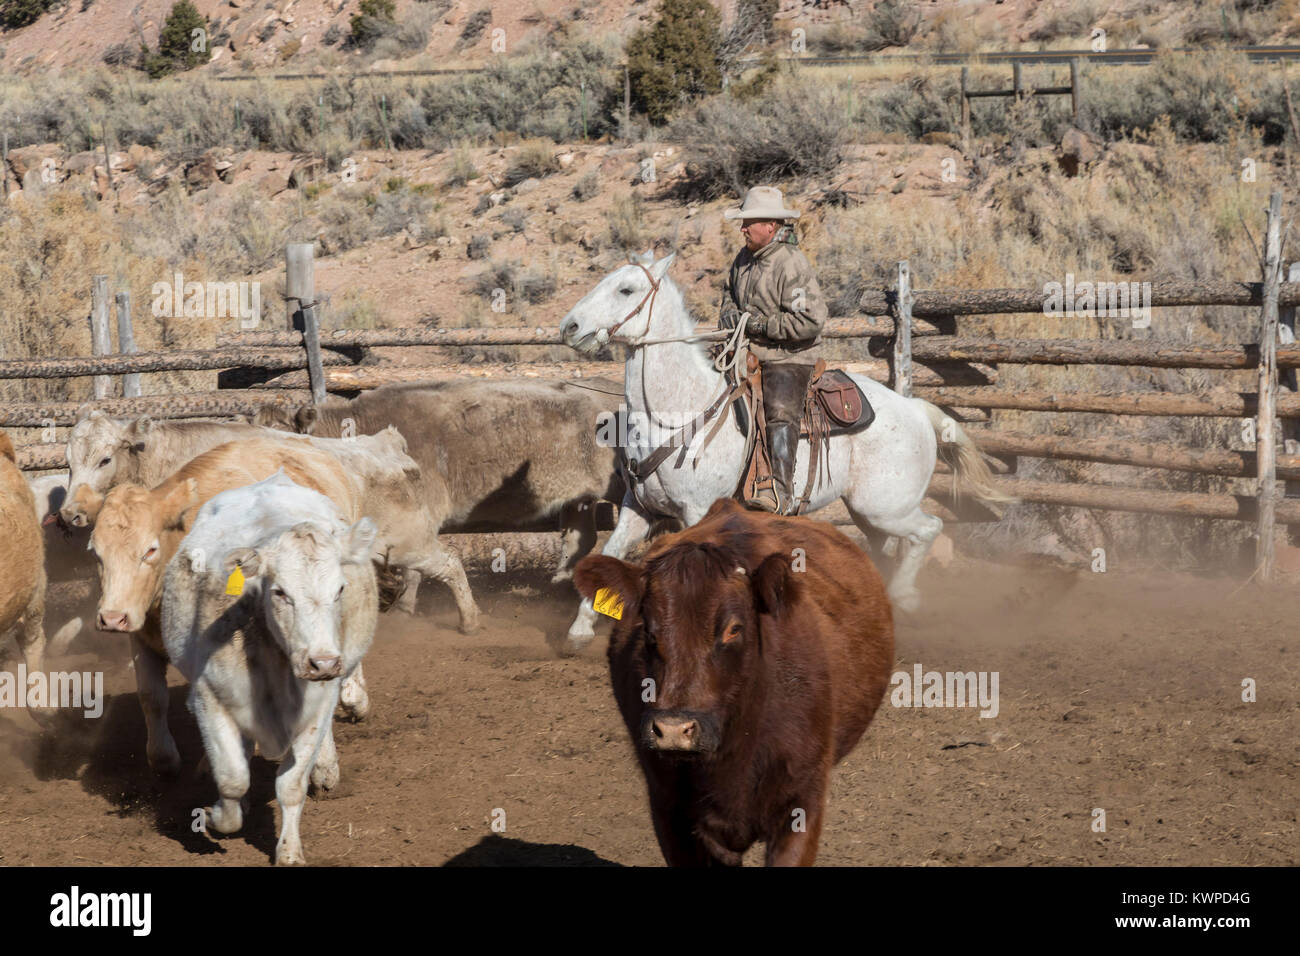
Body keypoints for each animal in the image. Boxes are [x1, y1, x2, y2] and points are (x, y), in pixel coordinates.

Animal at [162, 473, 378, 865]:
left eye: (340, 589)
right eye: (280, 592)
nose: (323, 662)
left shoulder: (318, 706)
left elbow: (291, 785)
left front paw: (289, 850)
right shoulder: (210, 697)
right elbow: (233, 778)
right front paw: (217, 815)